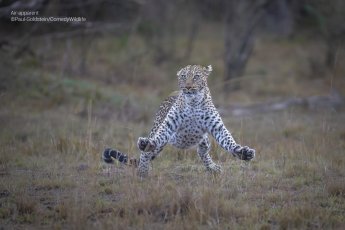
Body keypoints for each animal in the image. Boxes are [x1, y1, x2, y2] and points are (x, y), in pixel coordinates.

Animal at [101, 63, 254, 177]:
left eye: (196, 77)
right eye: (183, 76)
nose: (188, 87)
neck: (193, 102)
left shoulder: (217, 127)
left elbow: (228, 140)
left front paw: (242, 152)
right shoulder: (168, 125)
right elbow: (156, 139)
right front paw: (146, 149)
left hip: (203, 140)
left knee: (202, 151)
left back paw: (212, 168)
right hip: (159, 133)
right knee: (148, 152)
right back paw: (143, 170)